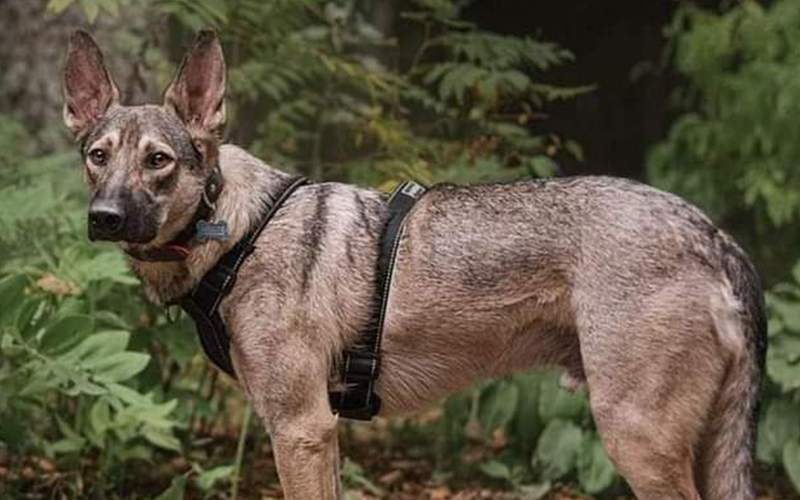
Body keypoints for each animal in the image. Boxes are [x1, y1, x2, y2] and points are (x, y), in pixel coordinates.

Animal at [64, 29, 768, 498]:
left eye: (159, 161)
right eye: (98, 156)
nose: (104, 218)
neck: (239, 234)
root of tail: (713, 234)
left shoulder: (300, 428)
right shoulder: (320, 432)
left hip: (635, 438)